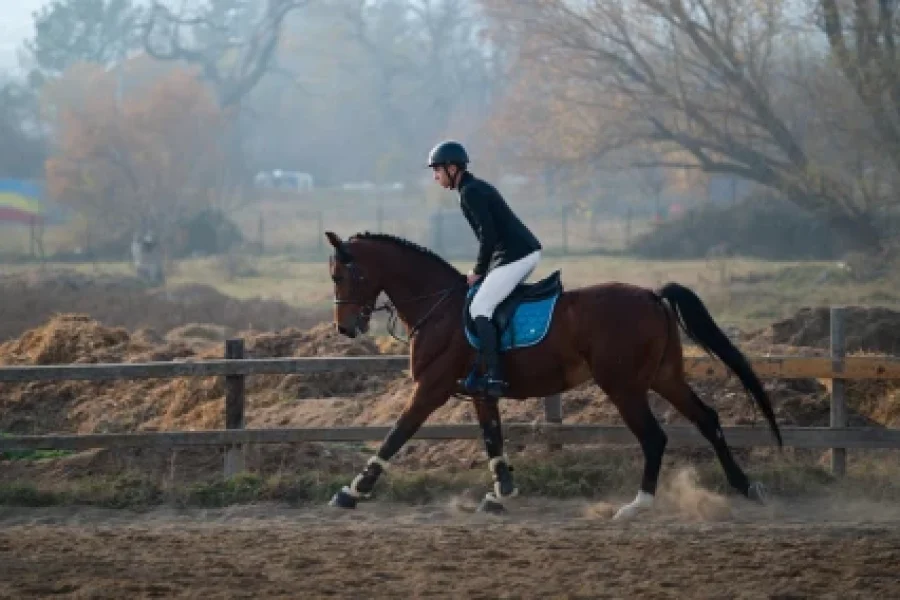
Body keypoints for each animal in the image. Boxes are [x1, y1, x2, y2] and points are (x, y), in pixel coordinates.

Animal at [323, 230, 782, 517]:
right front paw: (502, 496)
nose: (345, 329)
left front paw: (351, 491)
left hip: (624, 386)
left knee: (655, 437)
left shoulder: (430, 389)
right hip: (664, 378)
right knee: (707, 419)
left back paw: (638, 505)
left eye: (344, 274)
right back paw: (746, 486)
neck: (440, 308)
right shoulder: (481, 393)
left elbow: (397, 433)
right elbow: (493, 442)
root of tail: (652, 295)